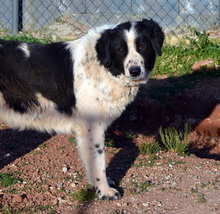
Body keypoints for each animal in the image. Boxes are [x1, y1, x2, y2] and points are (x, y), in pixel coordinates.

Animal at [0, 19, 164, 200]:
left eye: (142, 46)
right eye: (120, 50)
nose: (135, 71)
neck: (100, 64)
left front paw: (97, 185)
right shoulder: (91, 126)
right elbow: (99, 161)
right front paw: (104, 191)